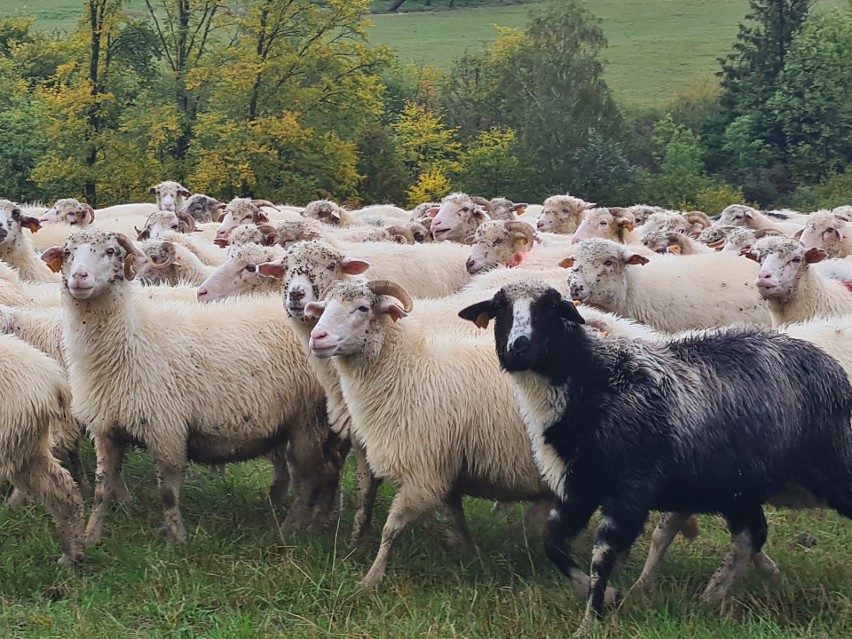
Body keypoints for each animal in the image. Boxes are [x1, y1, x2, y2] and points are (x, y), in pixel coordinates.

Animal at [40, 230, 340, 544]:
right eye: (68, 252)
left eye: (110, 251)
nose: (79, 277)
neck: (132, 339)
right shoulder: (106, 431)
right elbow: (102, 490)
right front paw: (90, 537)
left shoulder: (166, 431)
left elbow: (168, 494)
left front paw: (178, 539)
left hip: (309, 421)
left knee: (315, 475)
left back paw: (293, 528)